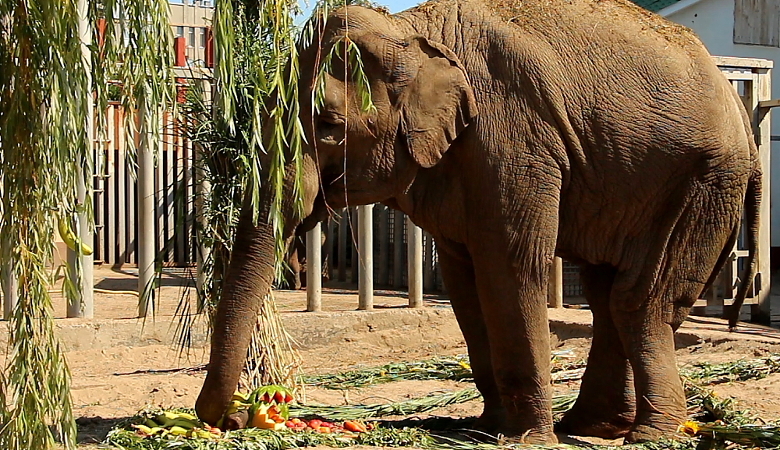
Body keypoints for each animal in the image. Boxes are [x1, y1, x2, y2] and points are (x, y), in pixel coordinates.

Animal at [197, 0, 760, 442]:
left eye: (331, 126)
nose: (233, 417)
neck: (411, 30)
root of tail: (736, 101)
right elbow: (464, 282)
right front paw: (489, 427)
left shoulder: (513, 138)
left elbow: (510, 267)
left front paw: (526, 438)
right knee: (607, 296)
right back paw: (593, 427)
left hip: (706, 182)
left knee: (637, 301)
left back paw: (649, 434)